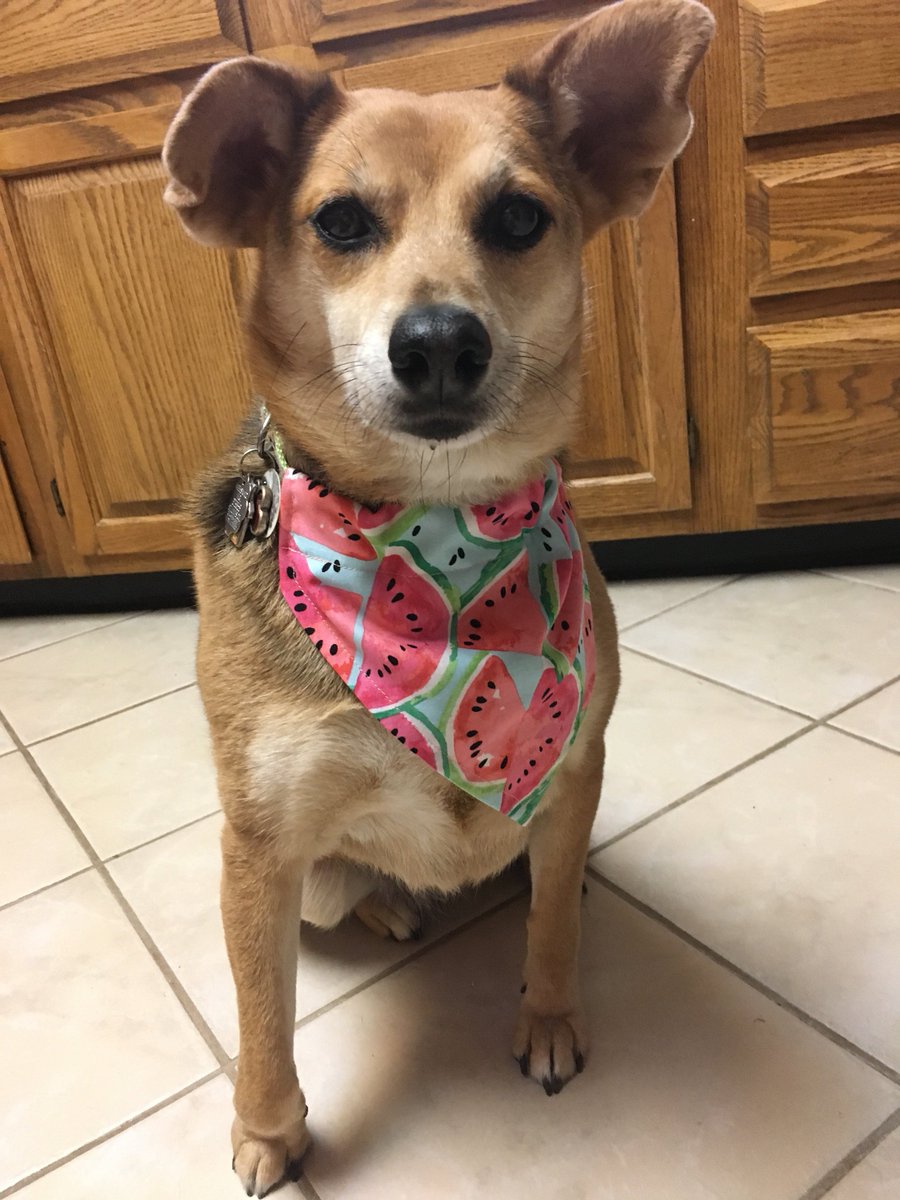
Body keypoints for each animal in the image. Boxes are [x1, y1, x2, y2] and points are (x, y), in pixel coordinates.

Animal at [160, 2, 710, 1190]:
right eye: (339, 221)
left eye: (518, 217)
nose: (442, 341)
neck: (443, 534)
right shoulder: (259, 847)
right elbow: (261, 1014)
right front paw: (268, 1132)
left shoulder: (574, 770)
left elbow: (551, 928)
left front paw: (548, 1017)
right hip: (312, 876)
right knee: (349, 889)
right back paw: (387, 911)